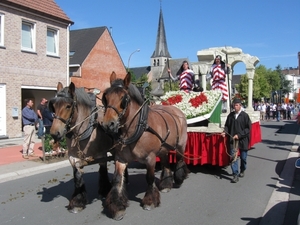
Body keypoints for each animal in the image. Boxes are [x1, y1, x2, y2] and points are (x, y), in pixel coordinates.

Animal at [49, 81, 115, 214]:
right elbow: (77, 175)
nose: (54, 133)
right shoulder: (73, 157)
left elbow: (103, 170)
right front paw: (77, 201)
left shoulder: (101, 153)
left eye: (68, 106)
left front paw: (105, 190)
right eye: (53, 106)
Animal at [102, 71, 189, 220]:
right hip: (163, 148)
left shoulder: (150, 158)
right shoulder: (120, 159)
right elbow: (117, 179)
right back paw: (166, 184)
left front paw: (150, 201)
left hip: (180, 145)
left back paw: (179, 178)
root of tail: (177, 111)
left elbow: (149, 178)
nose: (108, 124)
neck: (135, 129)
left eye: (123, 98)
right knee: (166, 162)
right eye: (105, 97)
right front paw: (117, 207)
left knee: (180, 159)